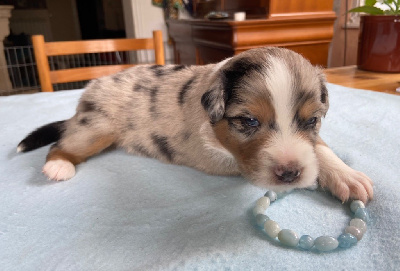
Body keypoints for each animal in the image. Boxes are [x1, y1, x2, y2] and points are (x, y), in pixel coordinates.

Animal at [17, 47, 374, 204]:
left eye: (312, 120)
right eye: (248, 121)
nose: (290, 174)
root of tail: (94, 84)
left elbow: (319, 148)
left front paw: (347, 176)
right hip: (96, 125)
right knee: (62, 142)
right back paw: (58, 166)